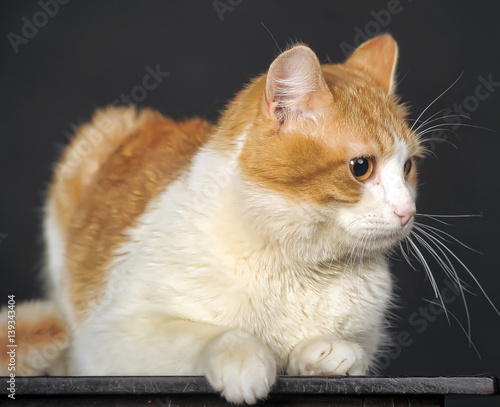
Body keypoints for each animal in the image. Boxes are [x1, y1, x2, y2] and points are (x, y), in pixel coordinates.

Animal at [16, 34, 422, 404]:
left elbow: (349, 351)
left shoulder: (365, 336)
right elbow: (207, 334)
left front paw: (325, 352)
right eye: (361, 167)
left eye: (407, 167)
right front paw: (244, 358)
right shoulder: (108, 338)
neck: (299, 267)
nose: (408, 212)